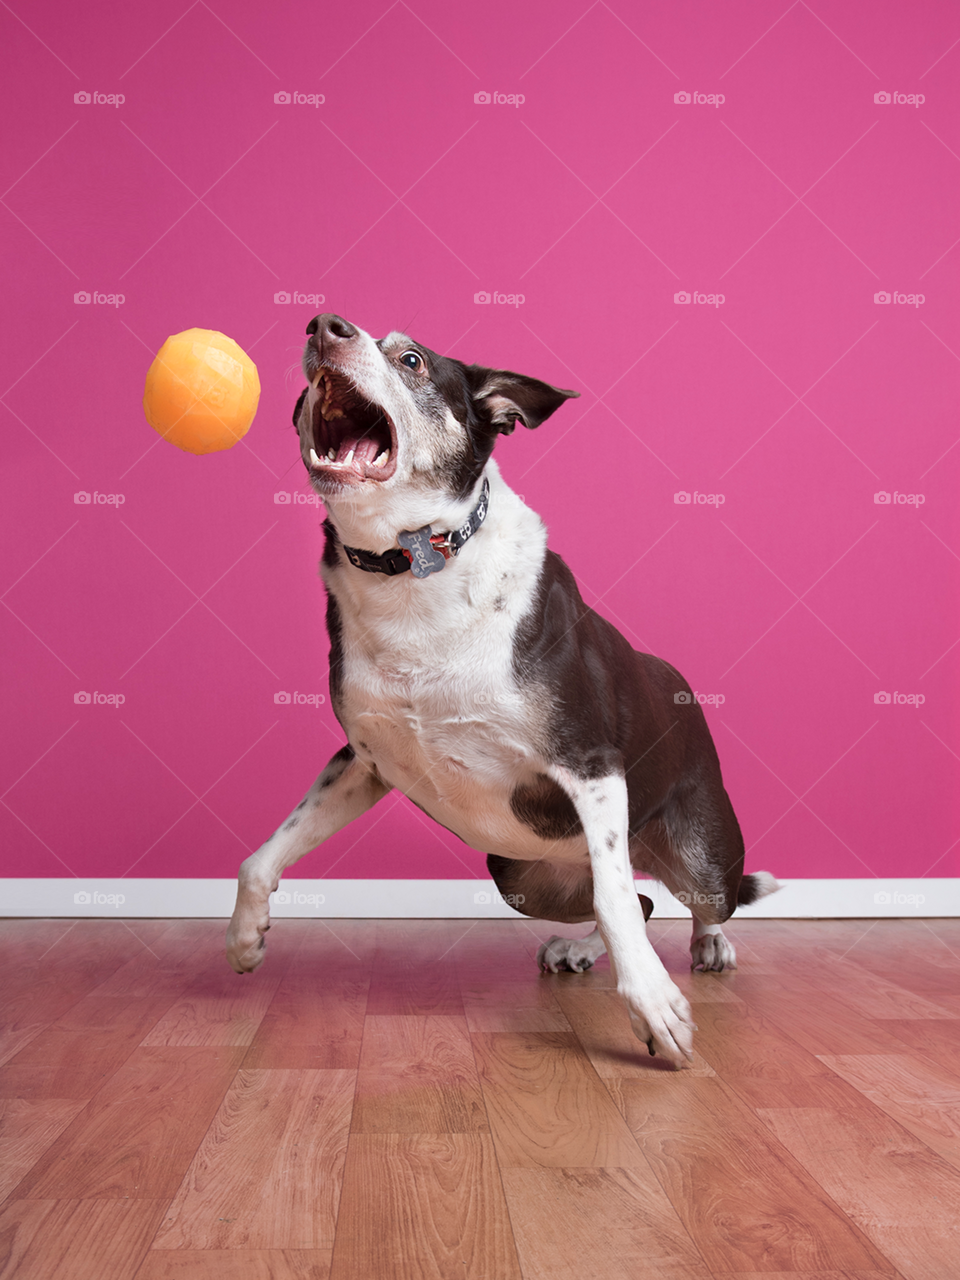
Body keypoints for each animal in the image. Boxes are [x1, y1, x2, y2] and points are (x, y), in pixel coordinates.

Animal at [227, 314, 783, 1064]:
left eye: (411, 360)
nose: (323, 325)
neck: (412, 565)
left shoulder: (589, 766)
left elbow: (615, 902)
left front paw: (653, 1004)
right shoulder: (363, 764)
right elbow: (260, 858)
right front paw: (245, 939)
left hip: (697, 852)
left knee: (691, 900)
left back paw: (709, 945)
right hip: (519, 874)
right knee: (636, 902)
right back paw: (580, 952)